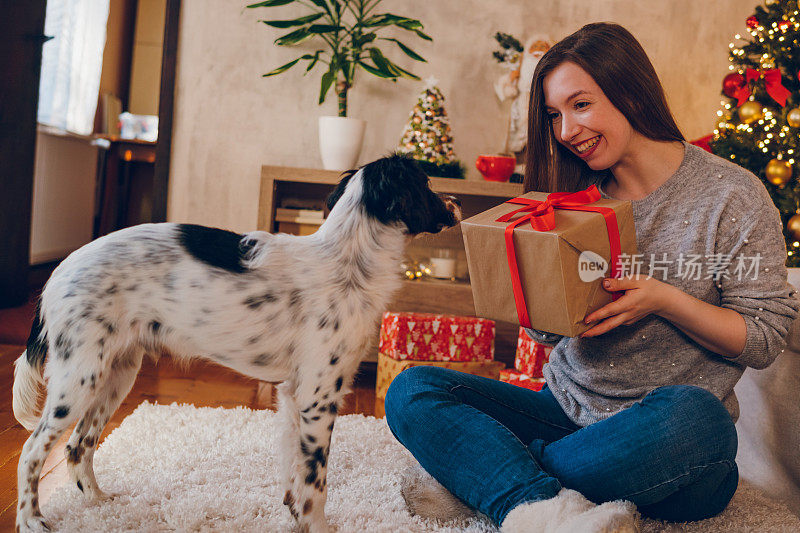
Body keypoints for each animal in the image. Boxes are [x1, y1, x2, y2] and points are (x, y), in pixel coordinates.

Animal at [12, 153, 460, 532]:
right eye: (428, 184)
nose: (456, 202)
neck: (347, 259)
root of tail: (58, 270)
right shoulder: (319, 397)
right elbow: (316, 481)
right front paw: (316, 526)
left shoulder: (294, 394)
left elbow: (294, 470)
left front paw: (294, 515)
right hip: (80, 378)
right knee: (32, 450)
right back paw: (31, 519)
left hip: (116, 374)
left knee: (78, 445)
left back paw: (99, 503)